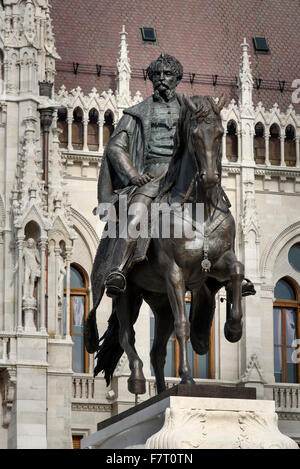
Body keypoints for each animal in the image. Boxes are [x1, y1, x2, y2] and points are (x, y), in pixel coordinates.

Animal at [87, 95, 253, 394]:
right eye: (195, 135)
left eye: (220, 134)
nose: (210, 178)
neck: (200, 208)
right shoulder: (174, 273)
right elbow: (183, 325)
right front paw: (186, 377)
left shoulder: (218, 262)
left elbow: (237, 271)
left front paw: (233, 328)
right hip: (128, 295)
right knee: (127, 336)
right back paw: (137, 379)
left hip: (160, 302)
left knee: (157, 351)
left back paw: (163, 390)